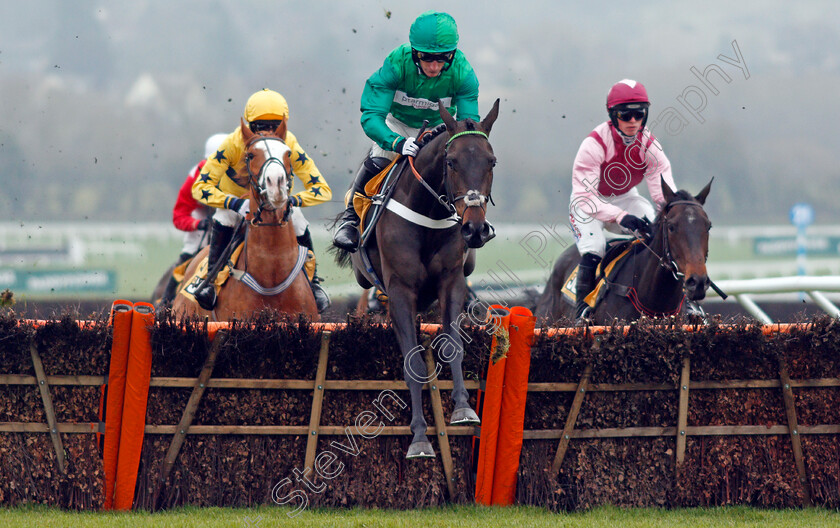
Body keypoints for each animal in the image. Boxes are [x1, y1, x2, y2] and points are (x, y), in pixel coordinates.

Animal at [171, 120, 318, 322]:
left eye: (288, 153)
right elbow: (201, 186)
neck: (272, 278)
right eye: (250, 155)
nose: (276, 185)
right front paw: (241, 205)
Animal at [334, 98, 502, 458]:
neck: (429, 213)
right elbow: (412, 363)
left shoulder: (451, 282)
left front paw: (463, 409)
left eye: (491, 161)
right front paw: (420, 438)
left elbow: (453, 345)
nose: (475, 229)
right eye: (451, 162)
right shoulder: (400, 291)